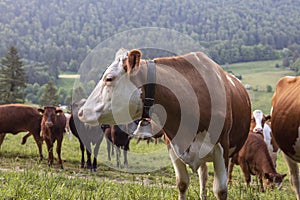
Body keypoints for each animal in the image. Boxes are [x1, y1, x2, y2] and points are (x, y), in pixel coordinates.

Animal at [78, 48, 251, 200]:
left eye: (109, 78)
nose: (81, 112)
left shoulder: (222, 149)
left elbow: (220, 190)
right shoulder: (172, 145)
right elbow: (182, 183)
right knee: (203, 178)